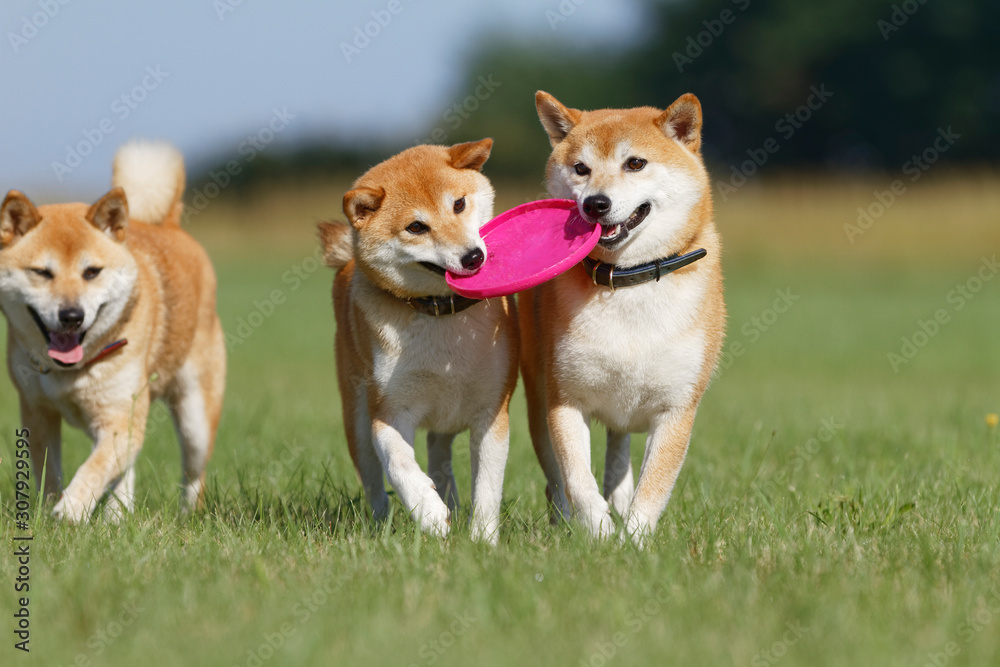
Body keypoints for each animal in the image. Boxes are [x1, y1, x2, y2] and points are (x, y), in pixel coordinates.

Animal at [0, 144, 227, 524]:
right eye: (42, 272)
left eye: (92, 272)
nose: (71, 316)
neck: (70, 372)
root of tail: (168, 224)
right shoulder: (37, 412)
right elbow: (51, 473)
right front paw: (53, 510)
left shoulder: (120, 416)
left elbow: (93, 469)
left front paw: (70, 511)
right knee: (126, 475)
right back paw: (116, 519)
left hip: (195, 418)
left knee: (193, 475)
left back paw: (185, 517)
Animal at [320, 140, 520, 544]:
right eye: (416, 227)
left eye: (458, 204)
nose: (472, 256)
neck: (442, 313)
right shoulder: (389, 409)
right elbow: (398, 462)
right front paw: (429, 514)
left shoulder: (492, 409)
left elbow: (487, 486)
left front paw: (482, 540)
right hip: (357, 419)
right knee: (375, 485)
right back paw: (383, 527)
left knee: (440, 456)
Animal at [520, 91, 724, 544]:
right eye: (581, 168)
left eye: (635, 163)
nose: (596, 203)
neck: (628, 281)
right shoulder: (564, 400)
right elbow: (578, 480)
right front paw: (598, 532)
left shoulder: (676, 408)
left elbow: (653, 485)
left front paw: (633, 541)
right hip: (538, 400)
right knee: (556, 481)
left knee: (618, 455)